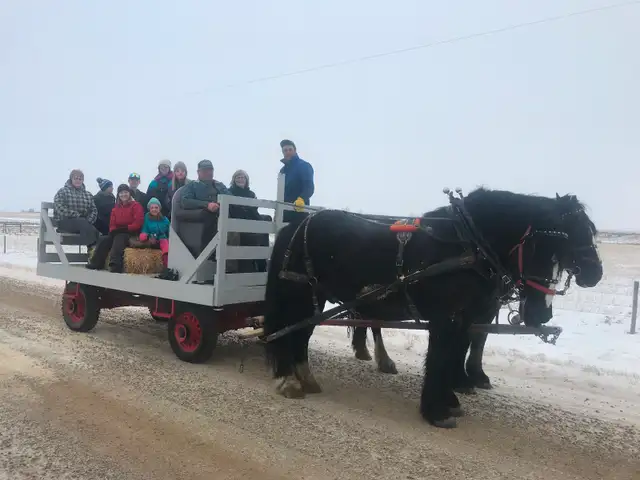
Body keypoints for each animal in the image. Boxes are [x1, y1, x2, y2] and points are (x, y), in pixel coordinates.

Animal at [263, 188, 601, 428]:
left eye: (588, 233)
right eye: (538, 250)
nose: (595, 274)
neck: (466, 247)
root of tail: (297, 224)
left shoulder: (466, 317)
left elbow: (456, 352)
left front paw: (452, 396)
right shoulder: (445, 318)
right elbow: (439, 358)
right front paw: (436, 411)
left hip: (316, 298)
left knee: (301, 333)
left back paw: (307, 378)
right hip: (299, 293)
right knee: (286, 331)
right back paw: (287, 379)